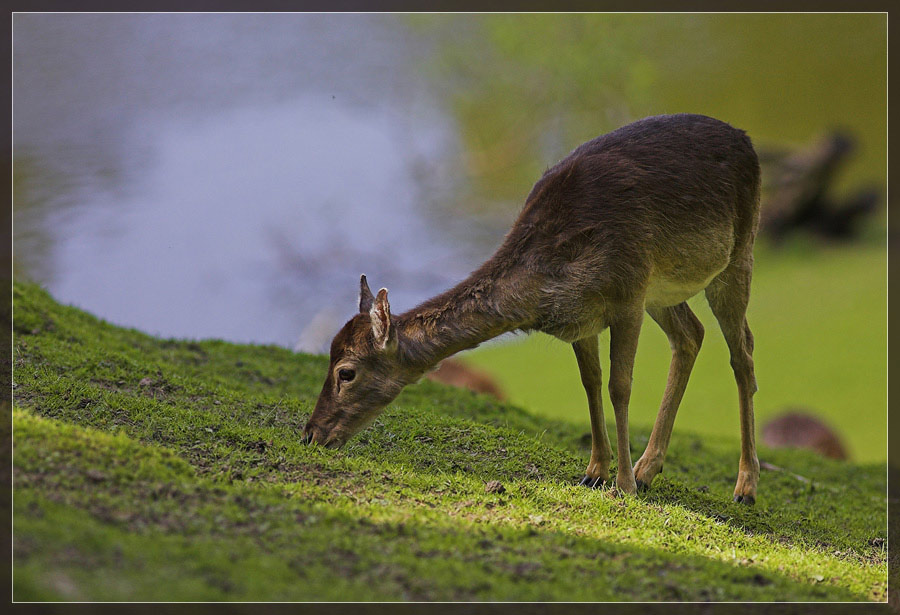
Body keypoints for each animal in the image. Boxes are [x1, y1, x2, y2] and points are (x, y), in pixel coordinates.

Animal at [302, 114, 760, 506]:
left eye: (346, 372)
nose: (310, 434)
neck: (551, 284)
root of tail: (747, 139)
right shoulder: (584, 318)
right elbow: (590, 382)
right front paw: (595, 471)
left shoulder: (628, 293)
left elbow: (620, 385)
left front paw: (624, 484)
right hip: (663, 289)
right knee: (691, 334)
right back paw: (651, 468)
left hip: (737, 252)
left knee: (742, 352)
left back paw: (744, 487)